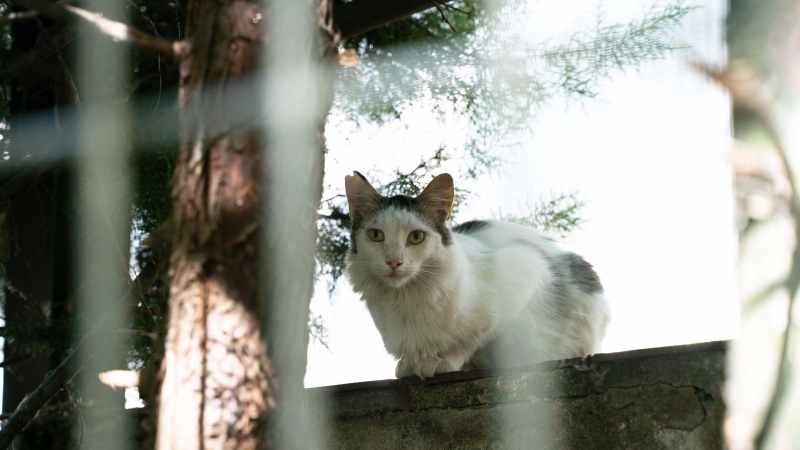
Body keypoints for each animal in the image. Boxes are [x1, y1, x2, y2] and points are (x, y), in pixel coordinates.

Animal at [344, 172, 612, 380]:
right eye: (376, 235)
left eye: (416, 237)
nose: (393, 261)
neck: (406, 299)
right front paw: (410, 364)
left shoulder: (525, 267)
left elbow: (471, 340)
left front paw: (442, 361)